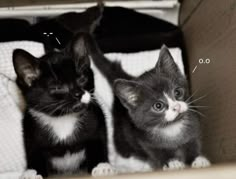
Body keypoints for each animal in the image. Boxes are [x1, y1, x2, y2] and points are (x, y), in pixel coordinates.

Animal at [12, 34, 108, 177]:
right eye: (57, 87)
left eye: (81, 78)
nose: (78, 93)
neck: (63, 118)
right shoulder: (30, 130)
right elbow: (34, 151)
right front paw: (33, 172)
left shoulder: (96, 119)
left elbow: (98, 142)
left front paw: (101, 165)